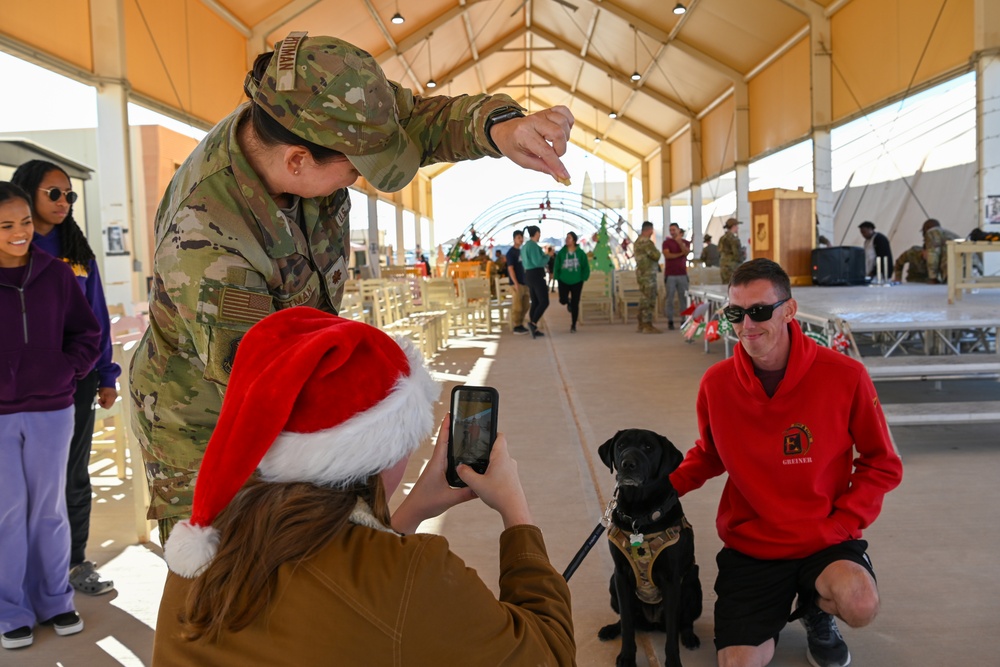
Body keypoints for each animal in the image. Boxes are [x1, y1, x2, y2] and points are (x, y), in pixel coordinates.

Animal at [596, 430, 700, 664]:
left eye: (649, 447)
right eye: (621, 445)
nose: (627, 463)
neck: (639, 515)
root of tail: (652, 623)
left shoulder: (671, 581)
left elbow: (672, 634)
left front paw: (673, 662)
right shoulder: (621, 576)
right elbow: (627, 625)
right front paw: (626, 657)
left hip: (692, 583)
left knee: (685, 621)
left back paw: (690, 637)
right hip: (612, 584)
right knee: (628, 621)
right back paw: (610, 629)